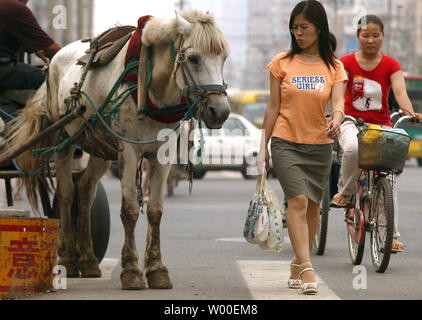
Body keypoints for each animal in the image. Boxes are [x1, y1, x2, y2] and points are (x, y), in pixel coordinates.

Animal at [2, 10, 231, 290]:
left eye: (223, 58)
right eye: (194, 58)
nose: (220, 111)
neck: (148, 89)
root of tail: (53, 61)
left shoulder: (162, 156)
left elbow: (155, 210)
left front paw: (156, 269)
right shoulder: (129, 152)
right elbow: (130, 210)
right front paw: (131, 270)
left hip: (100, 146)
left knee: (85, 192)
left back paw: (88, 260)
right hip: (63, 138)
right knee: (67, 195)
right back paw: (68, 258)